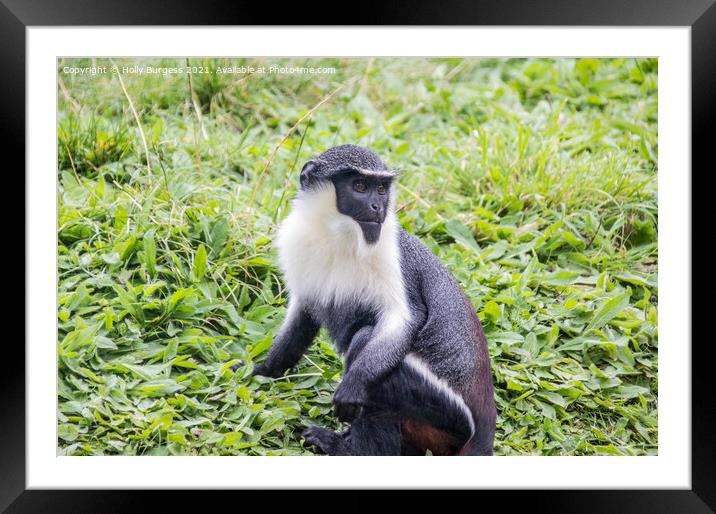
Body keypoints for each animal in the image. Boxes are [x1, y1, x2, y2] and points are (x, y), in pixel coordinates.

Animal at [243, 143, 496, 452]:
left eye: (382, 189)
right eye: (360, 186)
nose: (378, 207)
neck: (337, 235)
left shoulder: (393, 257)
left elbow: (404, 318)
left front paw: (352, 387)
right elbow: (301, 319)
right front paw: (262, 371)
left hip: (445, 413)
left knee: (367, 345)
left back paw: (348, 449)